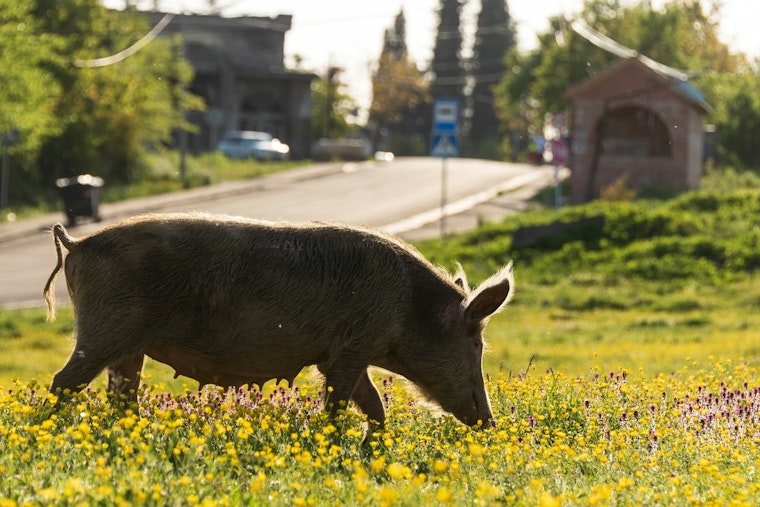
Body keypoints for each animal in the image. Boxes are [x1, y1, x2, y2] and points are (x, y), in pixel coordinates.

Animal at [43, 212, 514, 430]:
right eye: (476, 343)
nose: (489, 422)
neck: (408, 306)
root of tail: (78, 244)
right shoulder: (351, 348)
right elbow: (339, 404)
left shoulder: (343, 352)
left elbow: (375, 406)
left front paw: (372, 450)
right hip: (102, 332)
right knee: (63, 382)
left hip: (128, 346)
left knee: (121, 395)